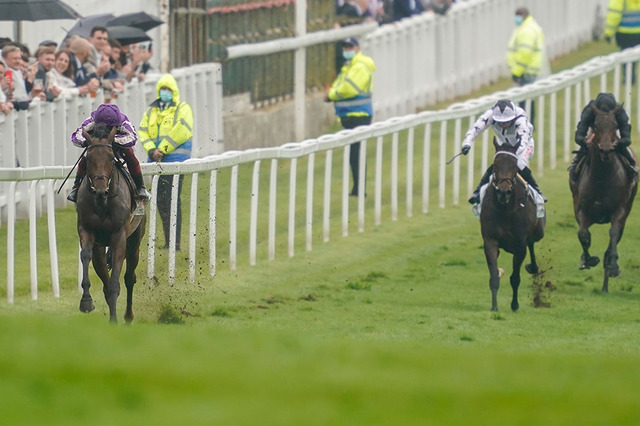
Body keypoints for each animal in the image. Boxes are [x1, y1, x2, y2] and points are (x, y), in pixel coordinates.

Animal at [75, 123, 146, 322]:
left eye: (110, 159)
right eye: (89, 158)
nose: (100, 191)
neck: (102, 203)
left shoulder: (119, 236)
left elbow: (115, 282)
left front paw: (114, 319)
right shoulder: (86, 230)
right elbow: (85, 255)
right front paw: (86, 301)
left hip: (134, 241)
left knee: (129, 277)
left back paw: (128, 316)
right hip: (101, 247)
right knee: (104, 276)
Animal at [480, 141, 544, 312]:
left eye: (515, 165)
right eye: (495, 164)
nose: (503, 192)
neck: (505, 209)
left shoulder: (520, 245)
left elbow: (515, 278)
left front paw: (514, 305)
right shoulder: (490, 241)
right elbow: (494, 276)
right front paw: (494, 307)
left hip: (538, 232)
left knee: (532, 243)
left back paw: (533, 267)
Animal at [568, 102, 636, 292]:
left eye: (615, 126)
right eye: (597, 126)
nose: (606, 150)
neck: (602, 178)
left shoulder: (619, 211)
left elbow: (613, 233)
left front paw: (613, 266)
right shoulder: (581, 210)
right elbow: (583, 234)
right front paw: (588, 260)